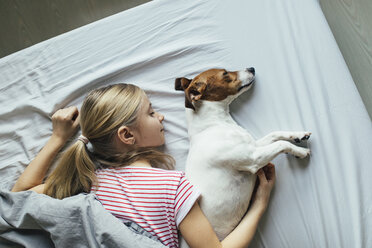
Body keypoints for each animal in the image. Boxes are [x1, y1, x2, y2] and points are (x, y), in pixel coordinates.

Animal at [174, 67, 310, 242]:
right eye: (225, 73)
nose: (252, 68)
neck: (215, 124)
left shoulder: (253, 146)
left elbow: (275, 134)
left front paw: (299, 135)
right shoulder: (253, 158)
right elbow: (281, 143)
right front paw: (301, 152)